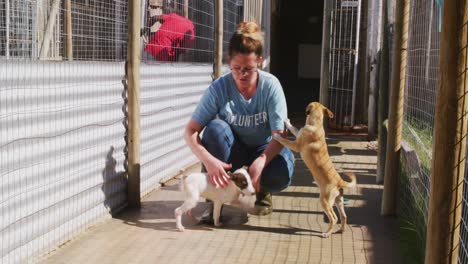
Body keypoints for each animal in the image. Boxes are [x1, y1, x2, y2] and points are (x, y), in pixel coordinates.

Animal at [272, 102, 356, 238]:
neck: (316, 124)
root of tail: (339, 181)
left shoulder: (295, 145)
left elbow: (284, 140)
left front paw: (276, 135)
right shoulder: (298, 134)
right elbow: (294, 128)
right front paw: (287, 122)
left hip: (325, 201)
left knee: (334, 218)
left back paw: (327, 233)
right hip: (338, 201)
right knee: (344, 216)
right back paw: (341, 230)